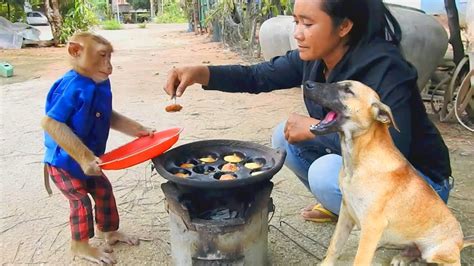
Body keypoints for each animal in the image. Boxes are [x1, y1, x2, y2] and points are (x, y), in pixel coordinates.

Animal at [41, 32, 154, 264]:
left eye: (110, 55)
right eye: (102, 54)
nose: (109, 65)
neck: (88, 79)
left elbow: (111, 116)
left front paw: (143, 131)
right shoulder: (67, 90)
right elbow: (53, 123)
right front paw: (90, 162)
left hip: (93, 182)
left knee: (104, 192)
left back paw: (111, 234)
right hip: (61, 173)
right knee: (79, 202)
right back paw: (83, 249)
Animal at [304, 80, 474, 264]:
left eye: (348, 90)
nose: (307, 84)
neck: (357, 161)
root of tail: (460, 242)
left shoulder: (372, 226)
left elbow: (360, 259)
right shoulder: (346, 213)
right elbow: (335, 245)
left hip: (435, 252)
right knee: (413, 249)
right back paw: (403, 257)